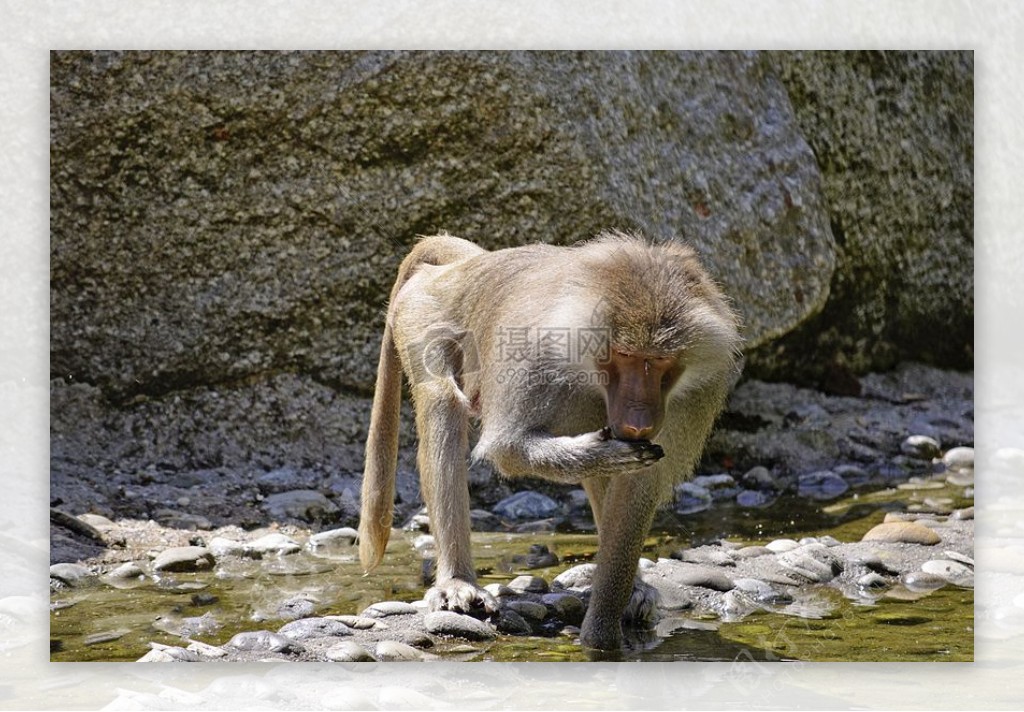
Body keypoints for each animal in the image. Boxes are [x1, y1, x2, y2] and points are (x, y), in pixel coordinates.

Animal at [362, 232, 745, 651]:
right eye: (625, 356)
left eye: (660, 362)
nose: (638, 422)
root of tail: (461, 267)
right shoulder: (531, 358)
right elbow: (508, 449)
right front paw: (603, 453)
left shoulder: (691, 397)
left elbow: (637, 487)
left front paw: (605, 630)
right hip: (421, 314)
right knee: (442, 403)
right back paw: (458, 582)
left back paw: (634, 587)